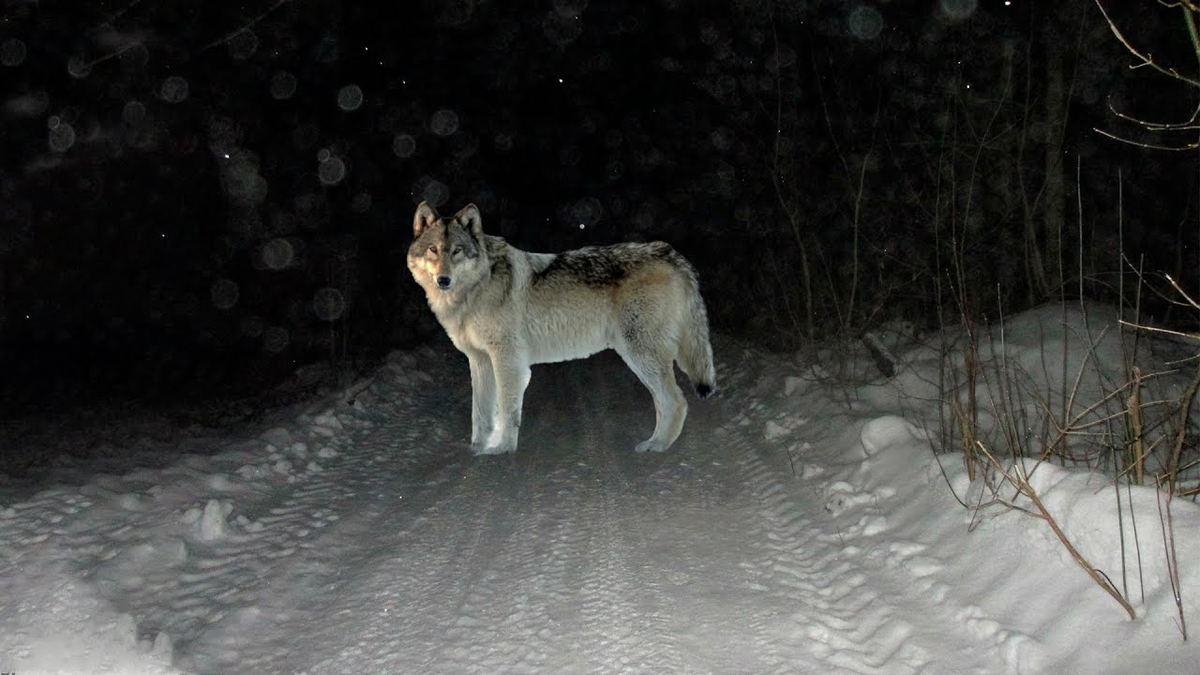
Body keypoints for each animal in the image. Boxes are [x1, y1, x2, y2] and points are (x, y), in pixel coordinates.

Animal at [408, 199, 715, 451]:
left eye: (457, 251)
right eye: (433, 250)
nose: (443, 280)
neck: (476, 288)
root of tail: (670, 254)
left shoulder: (507, 358)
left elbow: (507, 410)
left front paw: (503, 450)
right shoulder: (480, 359)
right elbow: (480, 414)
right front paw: (477, 450)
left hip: (640, 354)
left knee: (676, 401)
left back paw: (658, 447)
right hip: (638, 359)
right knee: (664, 402)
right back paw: (657, 442)